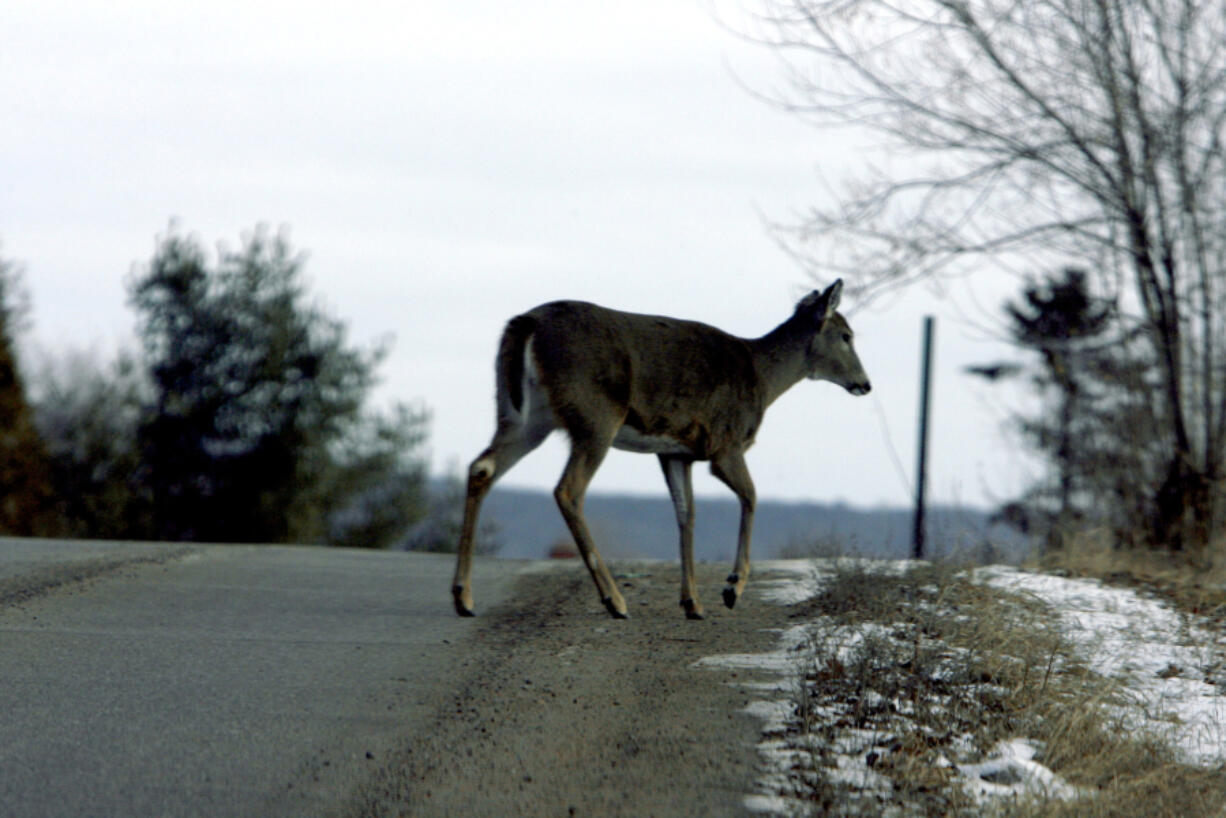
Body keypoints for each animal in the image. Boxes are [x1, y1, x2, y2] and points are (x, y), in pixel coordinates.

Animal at [453, 282, 872, 620]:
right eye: (846, 335)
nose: (865, 384)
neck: (763, 379)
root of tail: (526, 323)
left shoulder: (675, 452)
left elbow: (686, 514)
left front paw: (693, 604)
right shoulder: (725, 443)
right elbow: (751, 496)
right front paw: (731, 588)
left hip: (523, 416)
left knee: (481, 467)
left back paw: (464, 597)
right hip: (595, 416)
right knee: (568, 489)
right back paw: (615, 601)